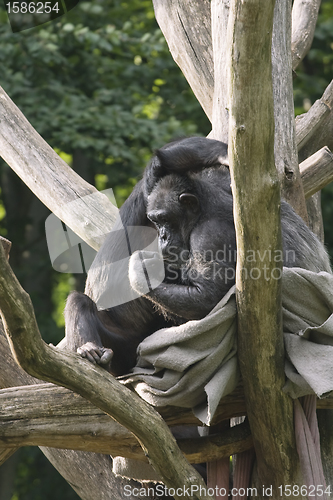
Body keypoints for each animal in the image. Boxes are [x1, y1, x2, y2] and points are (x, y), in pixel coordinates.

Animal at [64, 137, 330, 376]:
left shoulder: (210, 236)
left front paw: (141, 273)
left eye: (165, 219)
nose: (162, 236)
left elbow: (206, 296)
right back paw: (90, 350)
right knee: (80, 301)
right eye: (156, 220)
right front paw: (222, 152)